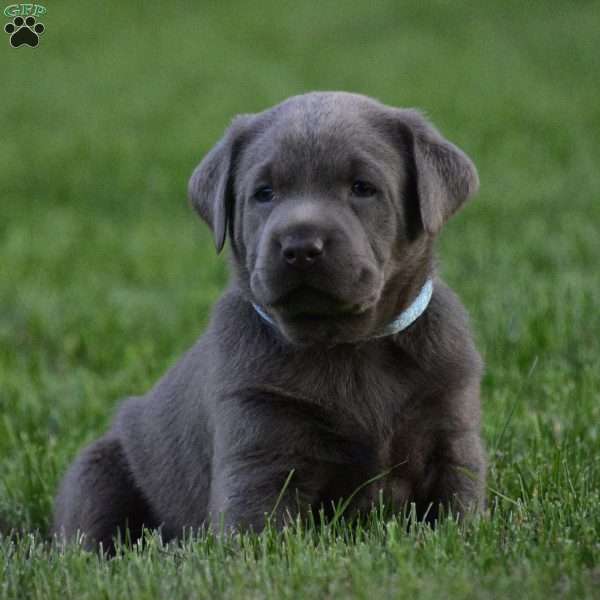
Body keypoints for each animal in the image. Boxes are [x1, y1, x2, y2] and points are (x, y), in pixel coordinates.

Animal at [52, 91, 488, 552]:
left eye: (362, 188)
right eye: (264, 193)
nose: (300, 246)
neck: (347, 346)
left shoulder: (452, 435)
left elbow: (458, 509)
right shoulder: (258, 452)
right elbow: (257, 537)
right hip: (97, 471)